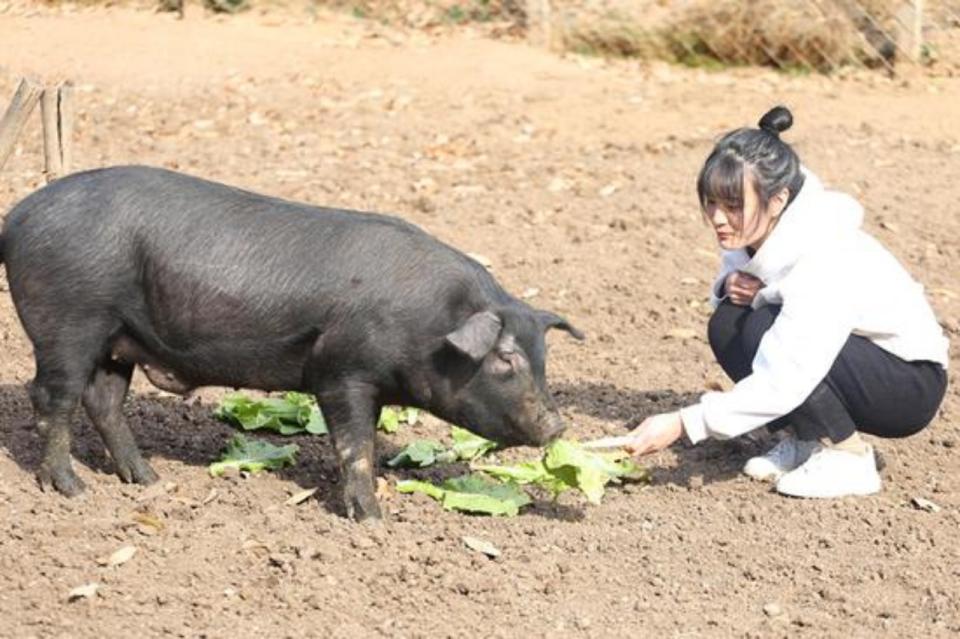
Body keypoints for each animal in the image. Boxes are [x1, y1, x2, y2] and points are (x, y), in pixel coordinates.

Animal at [0, 168, 580, 524]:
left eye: (543, 358)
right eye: (505, 359)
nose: (558, 425)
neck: (431, 324)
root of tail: (16, 217)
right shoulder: (343, 372)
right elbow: (355, 446)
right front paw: (373, 521)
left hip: (119, 339)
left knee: (103, 401)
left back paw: (148, 481)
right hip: (69, 322)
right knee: (52, 398)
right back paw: (72, 489)